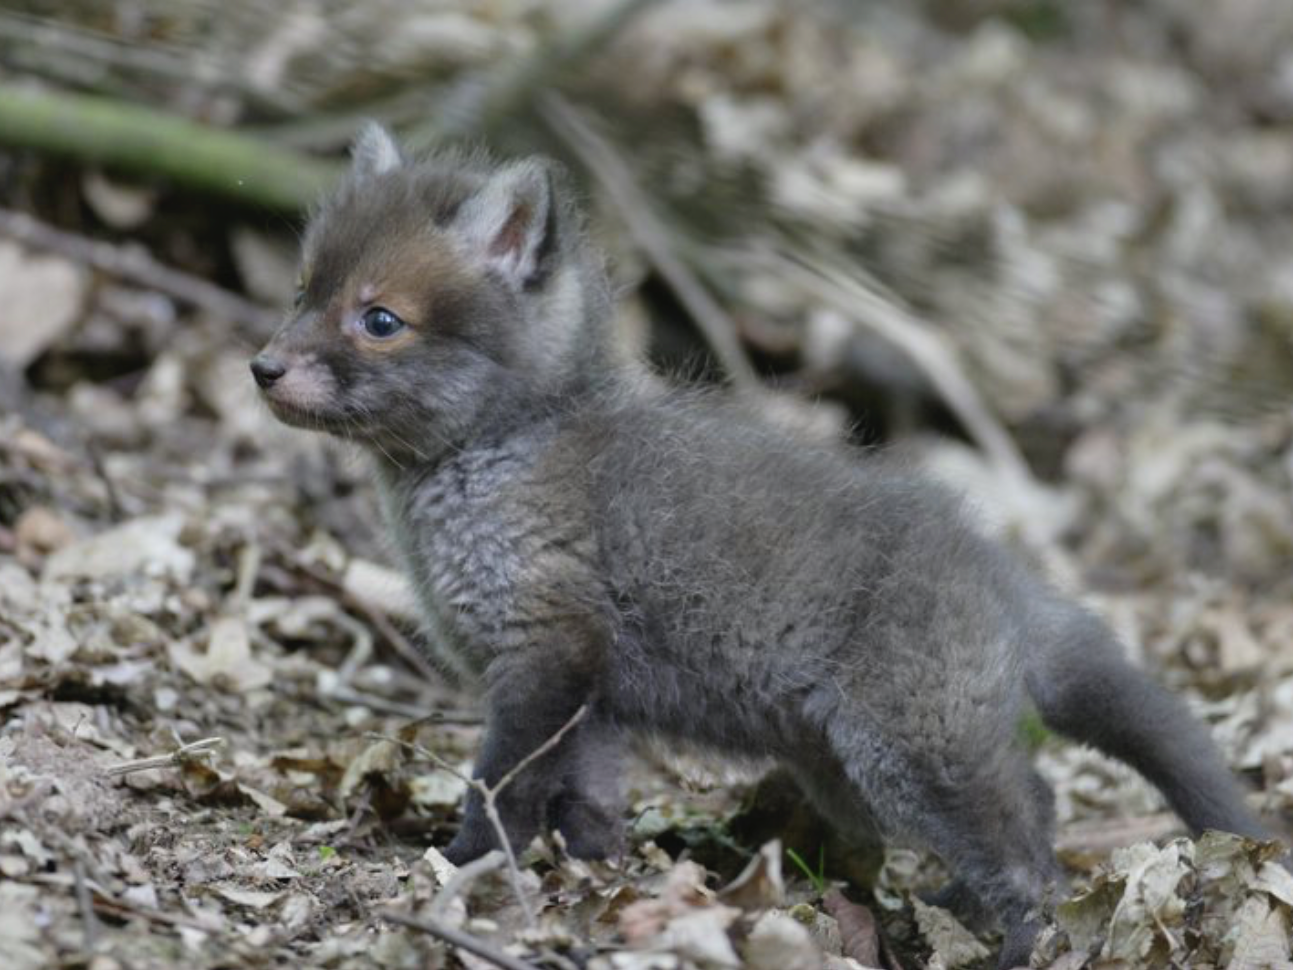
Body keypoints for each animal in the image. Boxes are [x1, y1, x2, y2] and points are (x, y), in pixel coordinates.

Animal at [250, 123, 1271, 967]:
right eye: (303, 291)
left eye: (380, 320)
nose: (262, 366)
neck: (501, 451)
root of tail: (1003, 575)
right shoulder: (592, 695)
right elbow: (586, 805)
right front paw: (595, 882)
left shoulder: (543, 655)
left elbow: (501, 786)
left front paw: (461, 866)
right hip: (854, 771)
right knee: (1038, 810)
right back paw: (955, 911)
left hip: (911, 758)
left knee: (1030, 852)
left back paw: (1020, 944)